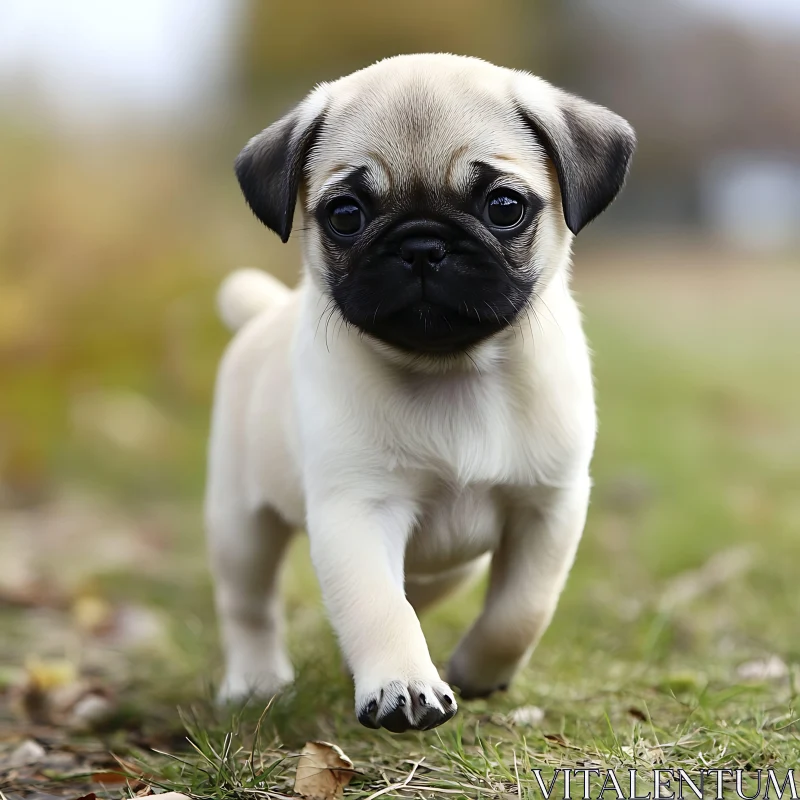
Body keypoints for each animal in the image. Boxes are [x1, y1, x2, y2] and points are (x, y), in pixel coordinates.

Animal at [208, 53, 636, 736]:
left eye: (504, 207)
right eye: (346, 215)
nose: (420, 245)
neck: (452, 372)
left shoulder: (549, 507)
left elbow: (521, 611)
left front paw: (479, 671)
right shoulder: (357, 512)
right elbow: (379, 607)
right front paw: (402, 684)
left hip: (453, 560)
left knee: (425, 586)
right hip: (240, 522)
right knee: (250, 603)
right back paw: (254, 680)